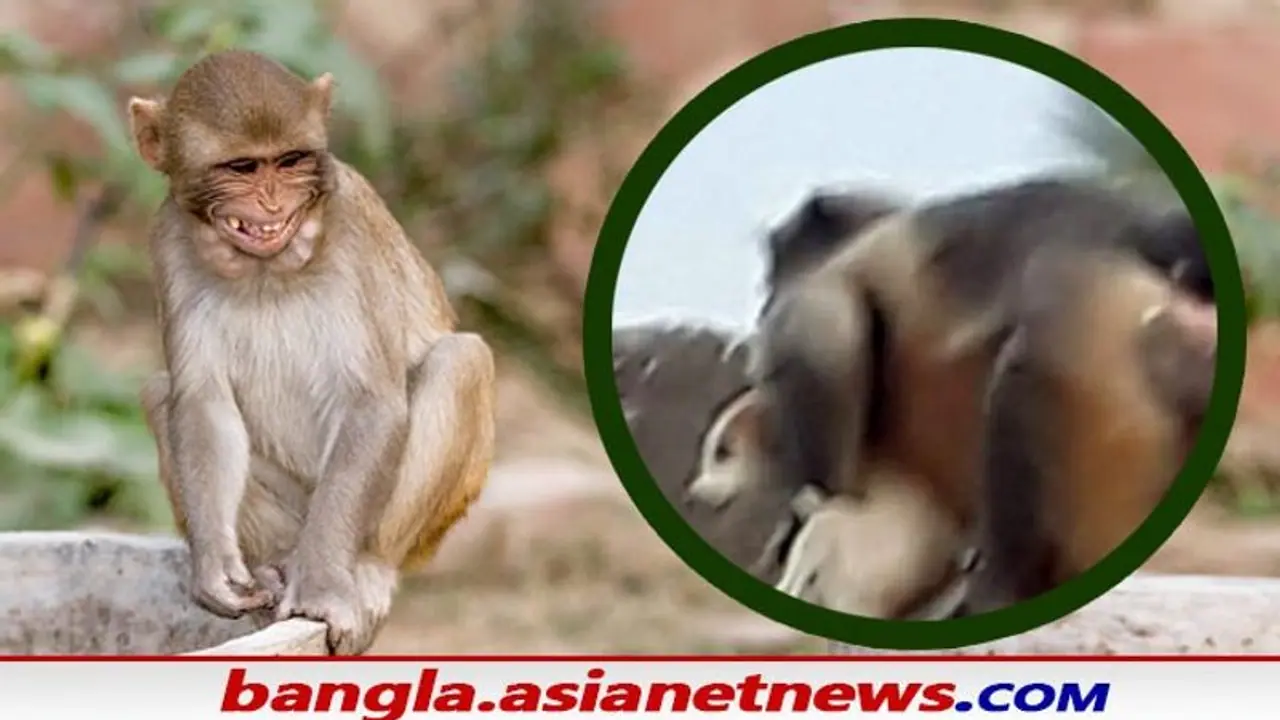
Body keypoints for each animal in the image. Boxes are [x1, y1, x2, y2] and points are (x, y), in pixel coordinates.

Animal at [128, 50, 496, 654]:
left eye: (290, 160)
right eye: (241, 168)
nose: (273, 202)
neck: (266, 270)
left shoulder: (352, 224)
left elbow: (372, 404)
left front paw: (323, 589)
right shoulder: (168, 240)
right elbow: (201, 405)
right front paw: (216, 568)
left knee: (461, 361)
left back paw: (366, 569)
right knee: (162, 395)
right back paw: (276, 565)